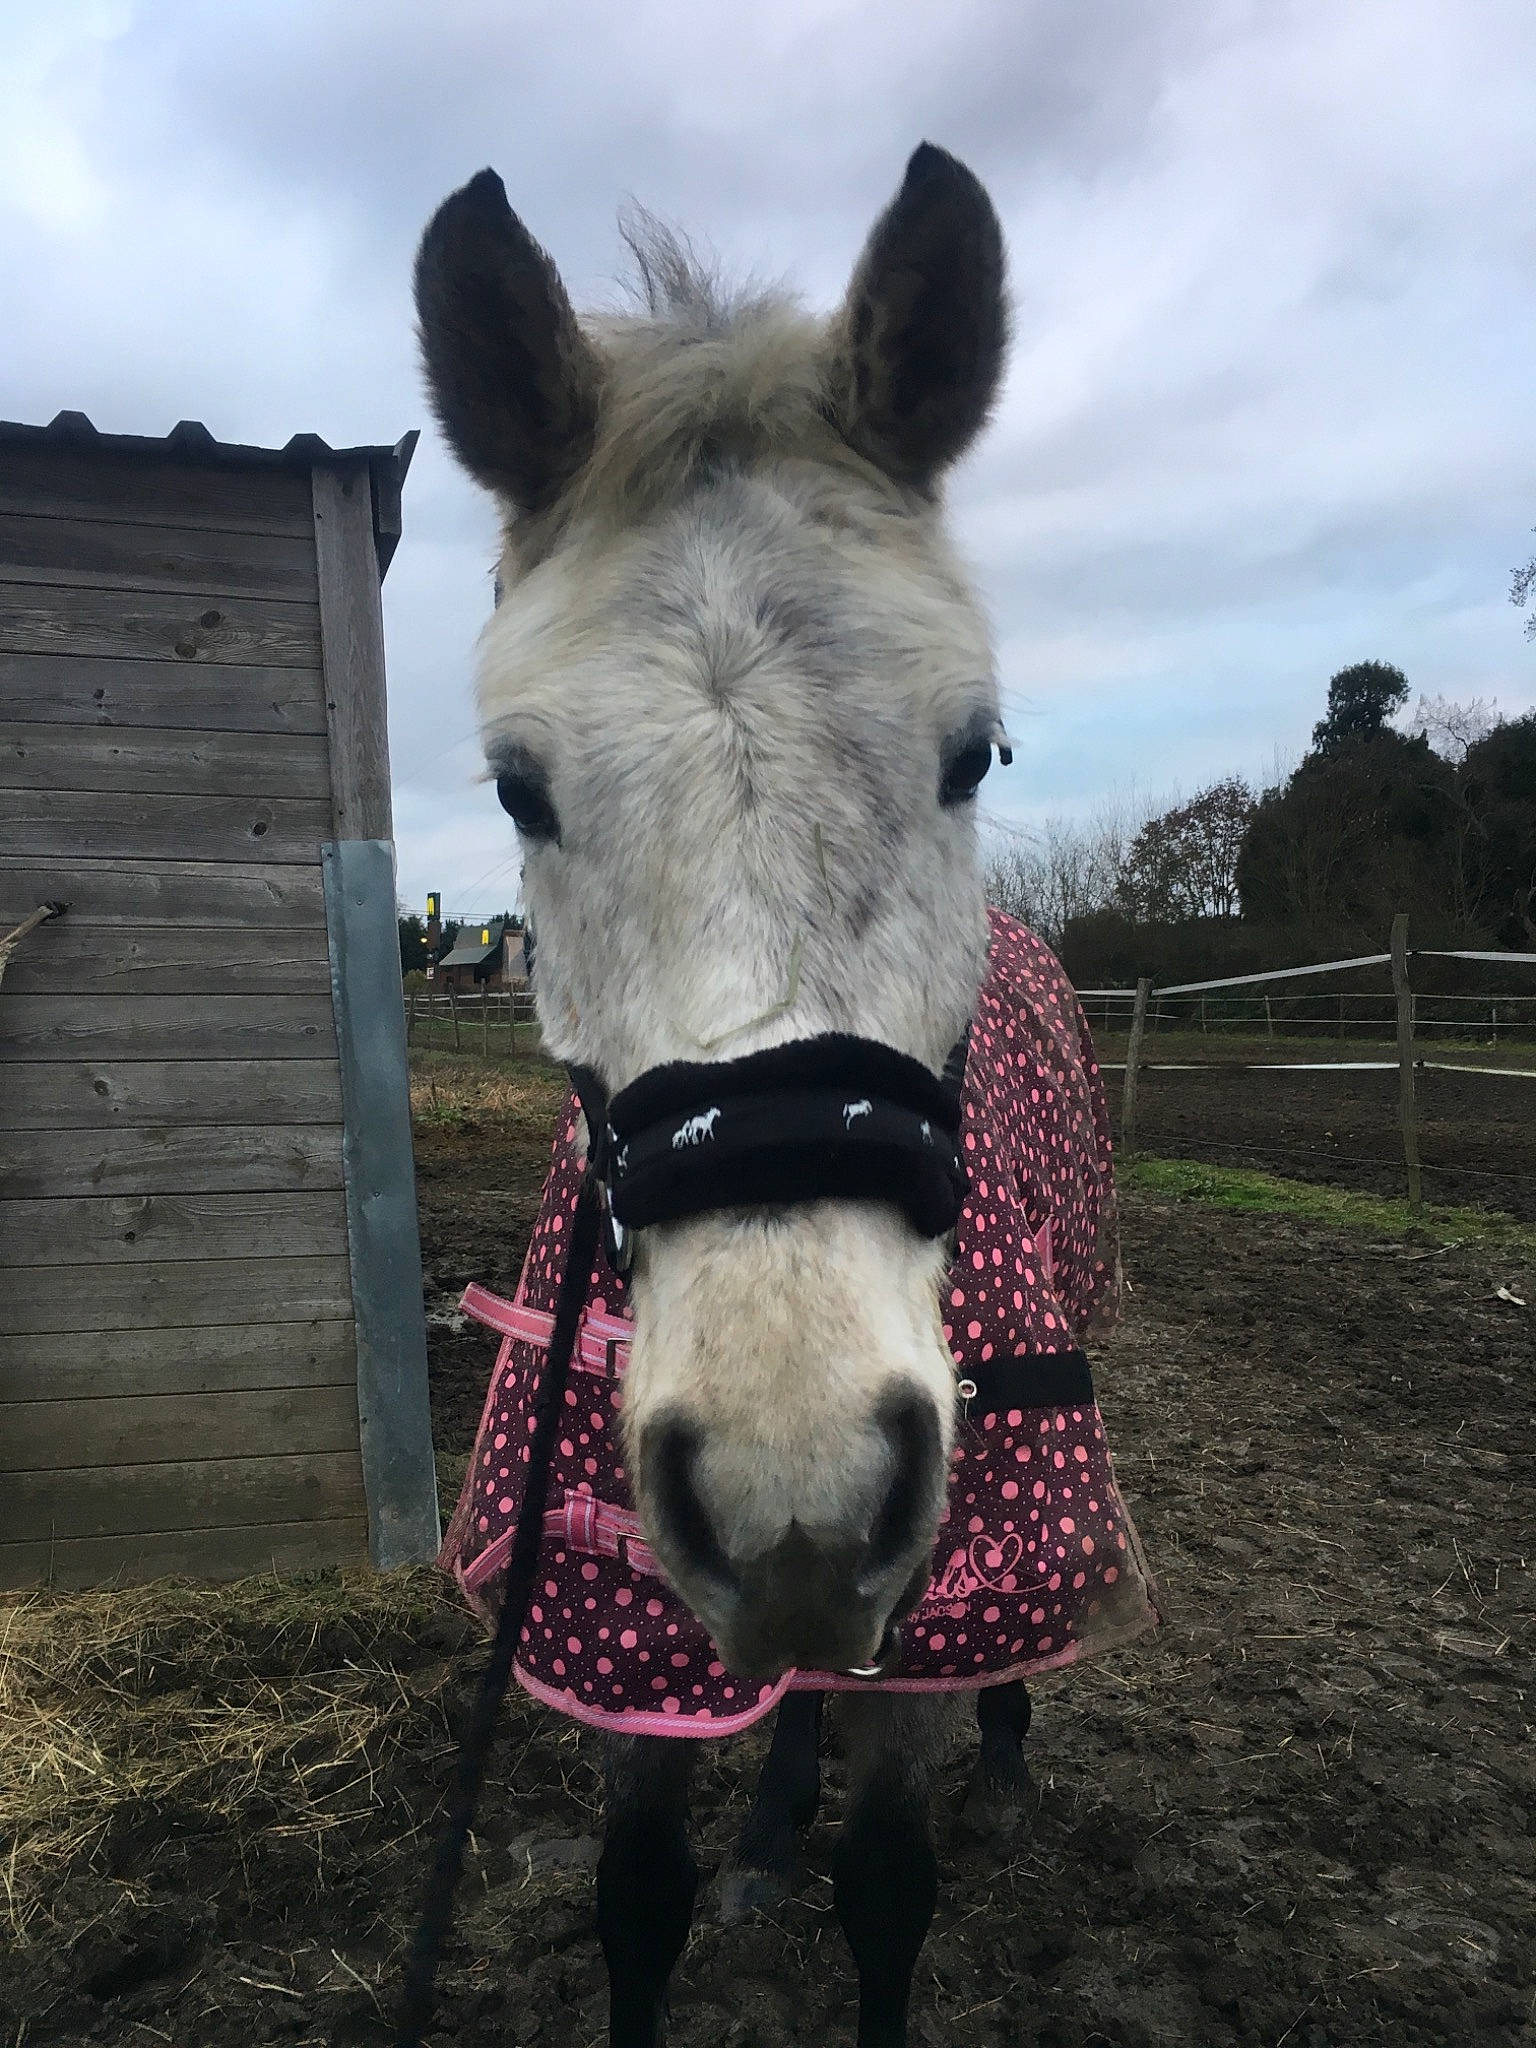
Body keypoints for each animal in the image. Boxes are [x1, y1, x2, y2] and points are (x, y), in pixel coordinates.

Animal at [410, 144, 1158, 2048]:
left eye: (973, 750)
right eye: (517, 785)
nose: (795, 1480)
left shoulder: (927, 1593)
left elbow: (890, 1887)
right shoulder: (625, 1631)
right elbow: (636, 1895)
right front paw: (727, 1852)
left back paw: (1004, 1767)